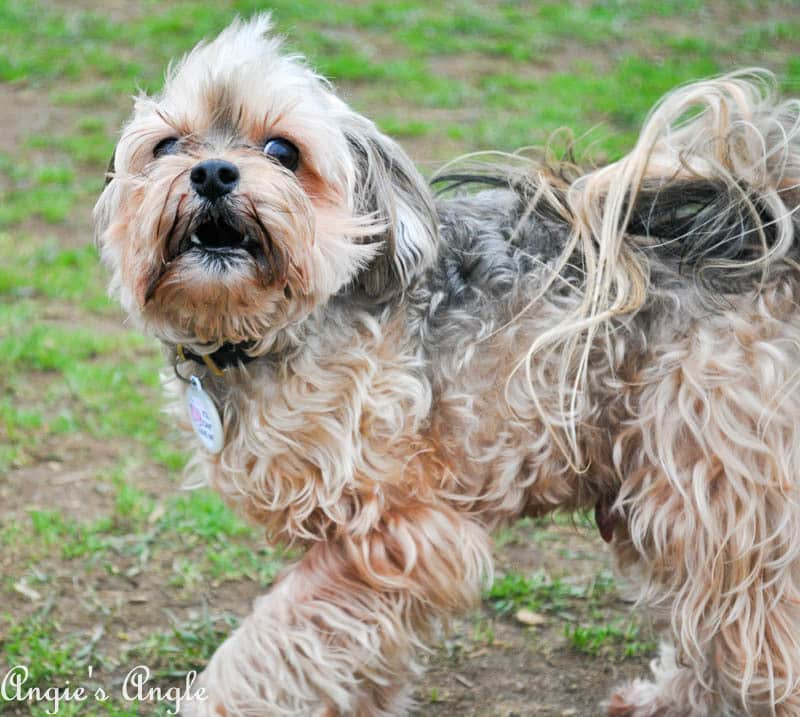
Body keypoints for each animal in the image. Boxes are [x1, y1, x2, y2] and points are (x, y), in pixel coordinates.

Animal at [95, 12, 800, 716]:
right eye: (165, 146)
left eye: (283, 151)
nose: (212, 172)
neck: (266, 333)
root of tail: (754, 233)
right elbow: (347, 655)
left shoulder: (399, 533)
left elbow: (271, 648)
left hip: (717, 492)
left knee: (755, 629)